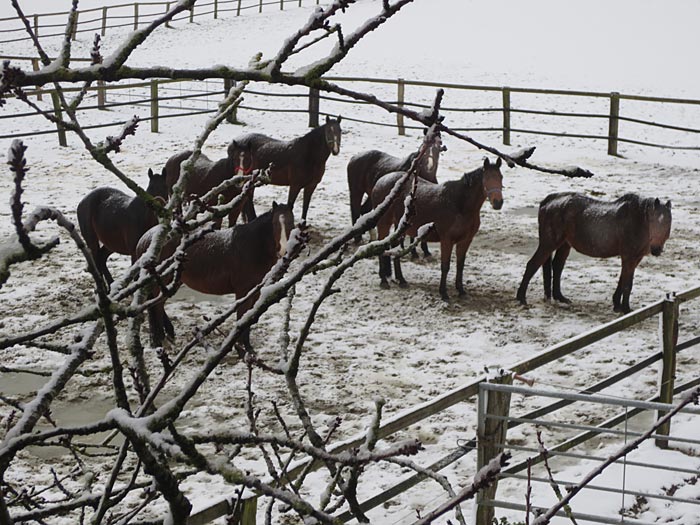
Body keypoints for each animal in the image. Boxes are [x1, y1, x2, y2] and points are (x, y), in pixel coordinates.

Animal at [135, 203, 294, 350]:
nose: (284, 251)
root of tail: (146, 239)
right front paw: (244, 348)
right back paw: (162, 341)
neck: (252, 247)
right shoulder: (243, 293)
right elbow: (241, 318)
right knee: (156, 308)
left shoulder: (254, 292)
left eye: (291, 223)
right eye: (275, 224)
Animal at [372, 156, 504, 298]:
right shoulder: (446, 240)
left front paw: (461, 290)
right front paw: (444, 293)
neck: (459, 205)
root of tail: (380, 181)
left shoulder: (465, 241)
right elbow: (445, 266)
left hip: (400, 227)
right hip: (384, 224)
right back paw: (384, 281)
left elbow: (460, 265)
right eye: (487, 178)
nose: (498, 202)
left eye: (501, 177)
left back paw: (401, 280)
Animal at [516, 194, 672, 314]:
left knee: (557, 266)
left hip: (565, 244)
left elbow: (622, 279)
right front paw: (626, 309)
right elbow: (627, 284)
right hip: (549, 243)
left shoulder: (635, 258)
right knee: (532, 265)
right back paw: (521, 298)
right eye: (653, 221)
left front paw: (617, 304)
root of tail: (548, 202)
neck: (637, 221)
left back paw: (560, 297)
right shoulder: (629, 256)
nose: (656, 249)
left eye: (667, 223)